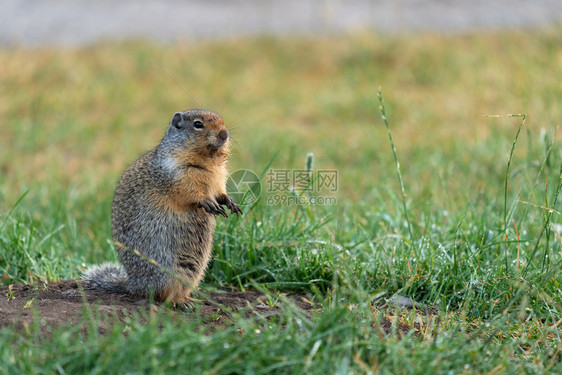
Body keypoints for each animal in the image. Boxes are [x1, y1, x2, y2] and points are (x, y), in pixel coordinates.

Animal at [83, 108, 241, 306]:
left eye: (222, 121)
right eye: (198, 124)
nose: (224, 134)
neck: (207, 159)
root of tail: (133, 285)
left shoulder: (219, 177)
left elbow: (221, 192)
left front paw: (230, 203)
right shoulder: (176, 174)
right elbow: (189, 192)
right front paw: (207, 202)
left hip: (194, 270)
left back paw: (191, 299)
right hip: (166, 272)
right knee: (163, 295)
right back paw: (180, 302)